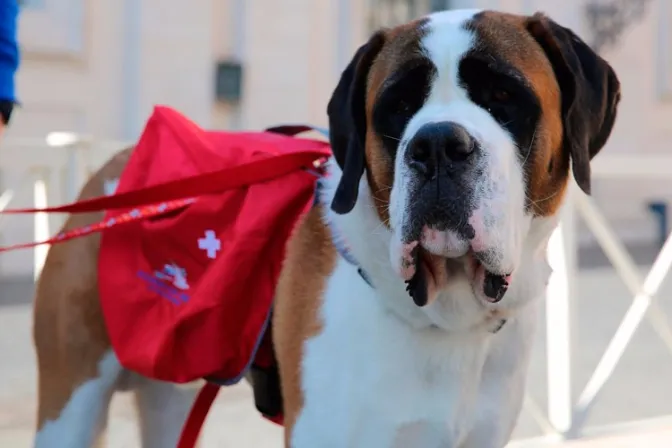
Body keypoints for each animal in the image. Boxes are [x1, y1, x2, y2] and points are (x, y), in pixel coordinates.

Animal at [32, 7, 620, 448]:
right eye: (397, 107)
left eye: (503, 97)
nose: (435, 145)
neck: (448, 318)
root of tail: (114, 171)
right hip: (70, 400)